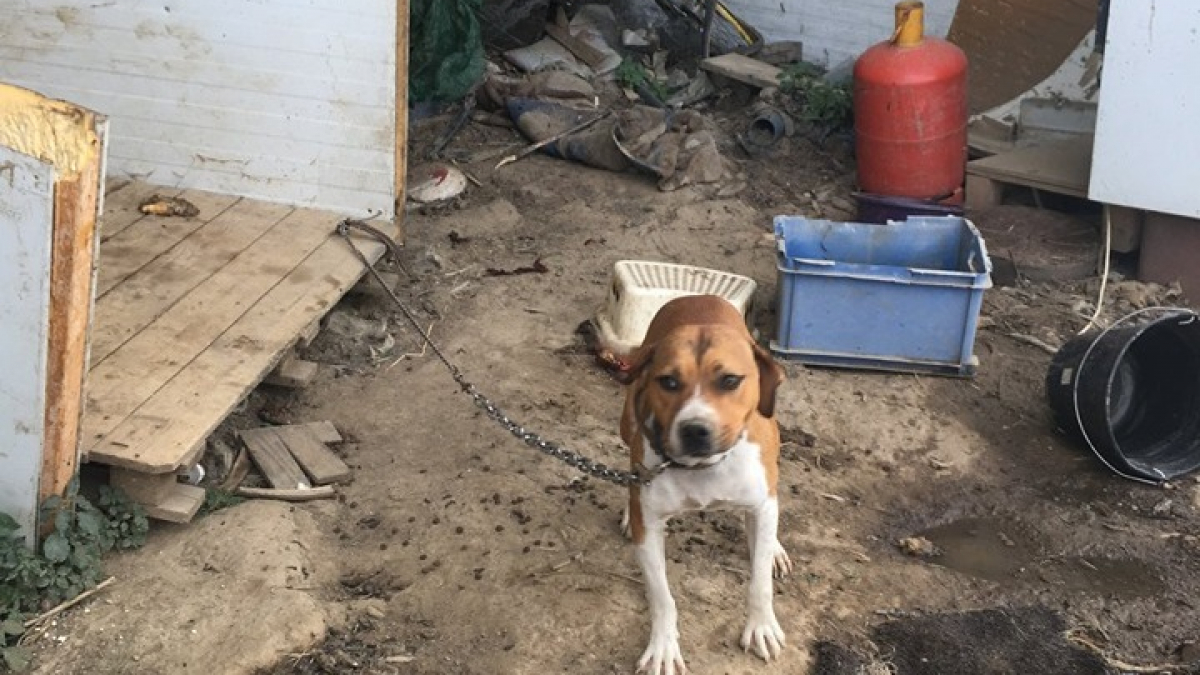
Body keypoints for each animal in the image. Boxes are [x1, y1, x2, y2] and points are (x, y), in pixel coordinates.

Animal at [624, 294, 792, 672]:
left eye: (730, 380)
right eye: (668, 382)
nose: (694, 429)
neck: (704, 468)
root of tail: (698, 296)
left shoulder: (760, 500)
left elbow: (759, 582)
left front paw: (761, 626)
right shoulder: (650, 527)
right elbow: (662, 596)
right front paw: (663, 647)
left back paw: (773, 546)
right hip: (627, 424)